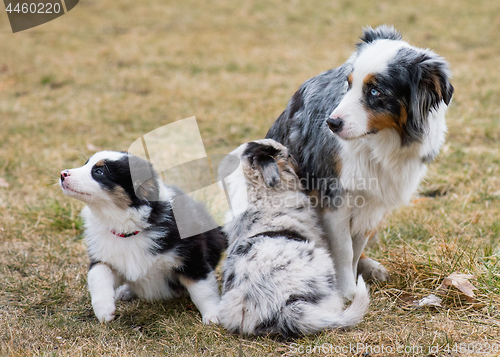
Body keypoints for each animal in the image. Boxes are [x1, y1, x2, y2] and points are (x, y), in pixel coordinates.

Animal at [59, 150, 229, 322]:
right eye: (86, 164)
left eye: (99, 171)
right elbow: (97, 274)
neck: (128, 231)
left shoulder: (190, 256)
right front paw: (104, 311)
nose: (62, 174)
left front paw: (213, 316)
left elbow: (202, 289)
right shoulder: (104, 256)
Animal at [268, 25, 456, 298]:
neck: (377, 141)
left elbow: (356, 248)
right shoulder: (334, 195)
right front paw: (346, 293)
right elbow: (344, 250)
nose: (331, 123)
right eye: (348, 85)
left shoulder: (374, 200)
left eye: (375, 91)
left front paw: (355, 281)